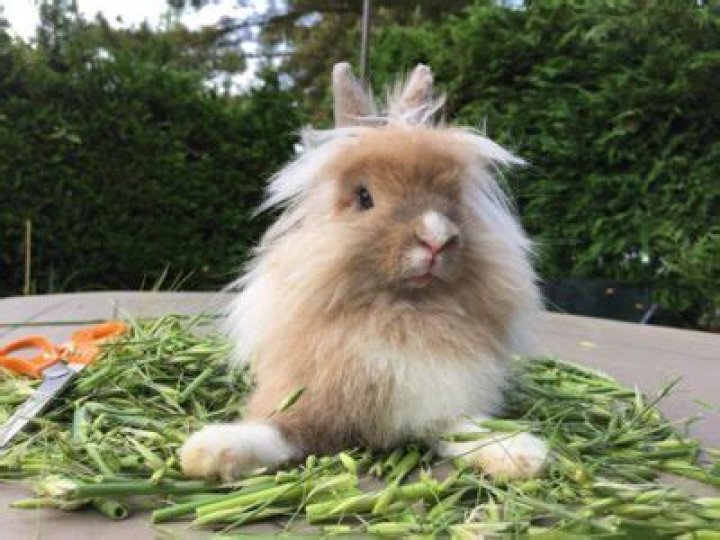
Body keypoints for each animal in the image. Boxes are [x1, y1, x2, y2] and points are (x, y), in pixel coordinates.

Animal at [179, 63, 549, 482]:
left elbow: (467, 429)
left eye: (453, 197)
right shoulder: (309, 397)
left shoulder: (437, 405)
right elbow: (277, 429)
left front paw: (522, 454)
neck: (401, 313)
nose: (436, 238)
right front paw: (206, 450)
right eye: (363, 197)